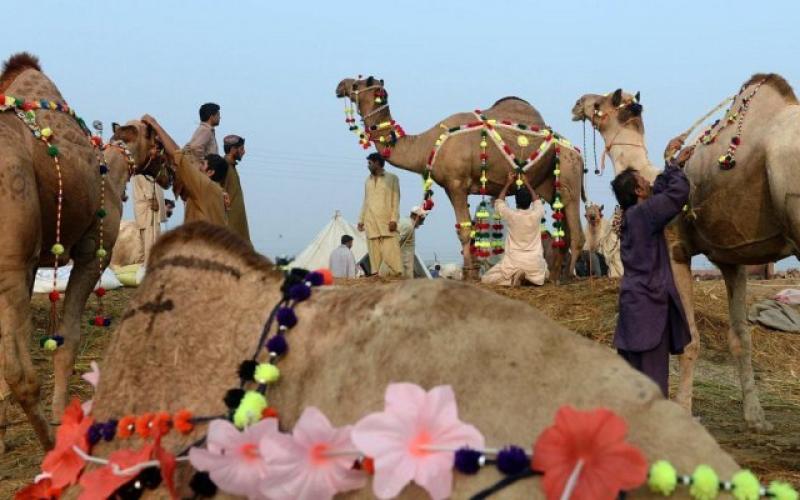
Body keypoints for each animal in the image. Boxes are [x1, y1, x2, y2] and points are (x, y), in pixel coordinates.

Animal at [0, 52, 169, 452]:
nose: (171, 169)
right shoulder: (93, 254)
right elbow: (68, 340)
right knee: (19, 372)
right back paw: (51, 445)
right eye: (156, 138)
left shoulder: (34, 261)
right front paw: (62, 416)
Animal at [334, 76, 584, 284]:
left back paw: (568, 277)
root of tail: (577, 152)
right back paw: (554, 275)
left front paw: (469, 275)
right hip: (550, 185)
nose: (339, 85)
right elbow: (469, 230)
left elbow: (464, 229)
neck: (427, 144)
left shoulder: (456, 184)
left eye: (356, 84)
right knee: (564, 230)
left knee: (576, 230)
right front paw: (470, 272)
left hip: (568, 174)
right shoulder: (454, 187)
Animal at [572, 74, 800, 430]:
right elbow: (741, 338)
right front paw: (756, 418)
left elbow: (690, 339)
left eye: (601, 103)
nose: (577, 103)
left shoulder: (676, 249)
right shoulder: (730, 258)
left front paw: (682, 409)